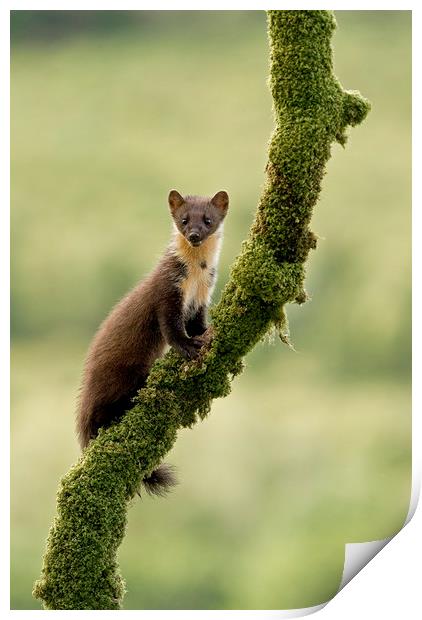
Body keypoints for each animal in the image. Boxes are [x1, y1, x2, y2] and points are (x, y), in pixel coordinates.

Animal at [75, 189, 227, 494]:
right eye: (184, 219)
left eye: (208, 219)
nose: (194, 234)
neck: (195, 278)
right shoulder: (167, 294)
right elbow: (171, 330)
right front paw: (190, 347)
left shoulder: (201, 300)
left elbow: (197, 325)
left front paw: (203, 335)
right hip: (116, 378)